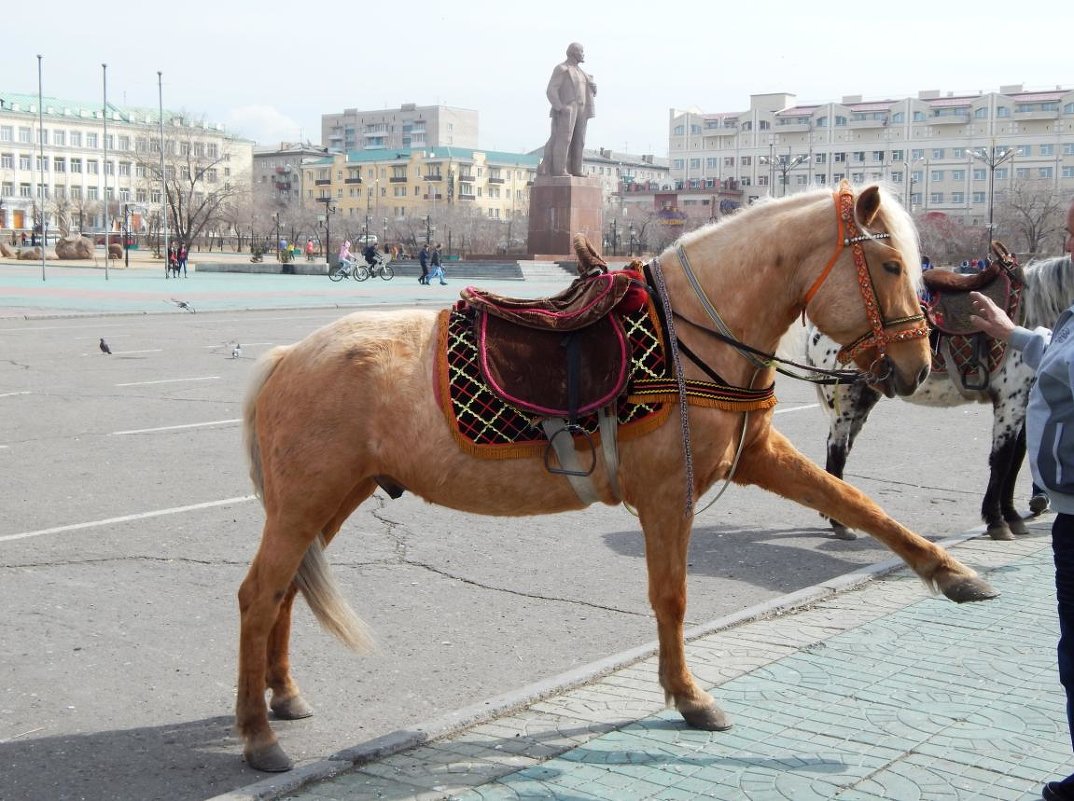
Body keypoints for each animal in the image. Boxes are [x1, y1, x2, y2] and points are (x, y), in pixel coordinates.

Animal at [237, 181, 996, 768]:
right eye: (892, 264)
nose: (916, 367)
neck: (693, 333)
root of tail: (285, 355)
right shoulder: (668, 497)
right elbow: (673, 598)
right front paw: (689, 696)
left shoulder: (759, 457)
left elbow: (863, 505)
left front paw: (954, 574)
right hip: (306, 502)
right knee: (258, 594)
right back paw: (257, 734)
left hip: (335, 498)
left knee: (286, 590)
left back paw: (284, 695)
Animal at [807, 252, 1074, 539]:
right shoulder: (1010, 402)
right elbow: (1002, 459)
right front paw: (996, 520)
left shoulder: (1024, 401)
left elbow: (1017, 457)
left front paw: (1011, 516)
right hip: (845, 396)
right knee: (836, 447)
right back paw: (839, 522)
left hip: (866, 394)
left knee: (842, 447)